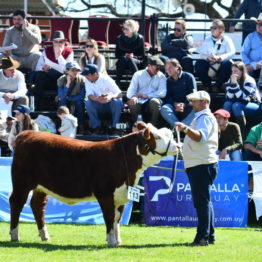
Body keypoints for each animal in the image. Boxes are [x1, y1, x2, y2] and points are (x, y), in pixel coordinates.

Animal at [9, 124, 179, 247]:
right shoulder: (105, 194)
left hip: (41, 186)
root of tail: (28, 133)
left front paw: (118, 240)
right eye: (157, 136)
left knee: (37, 205)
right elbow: (109, 217)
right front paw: (111, 241)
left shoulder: (122, 195)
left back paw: (45, 236)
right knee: (17, 203)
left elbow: (117, 218)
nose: (177, 145)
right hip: (21, 182)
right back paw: (15, 235)